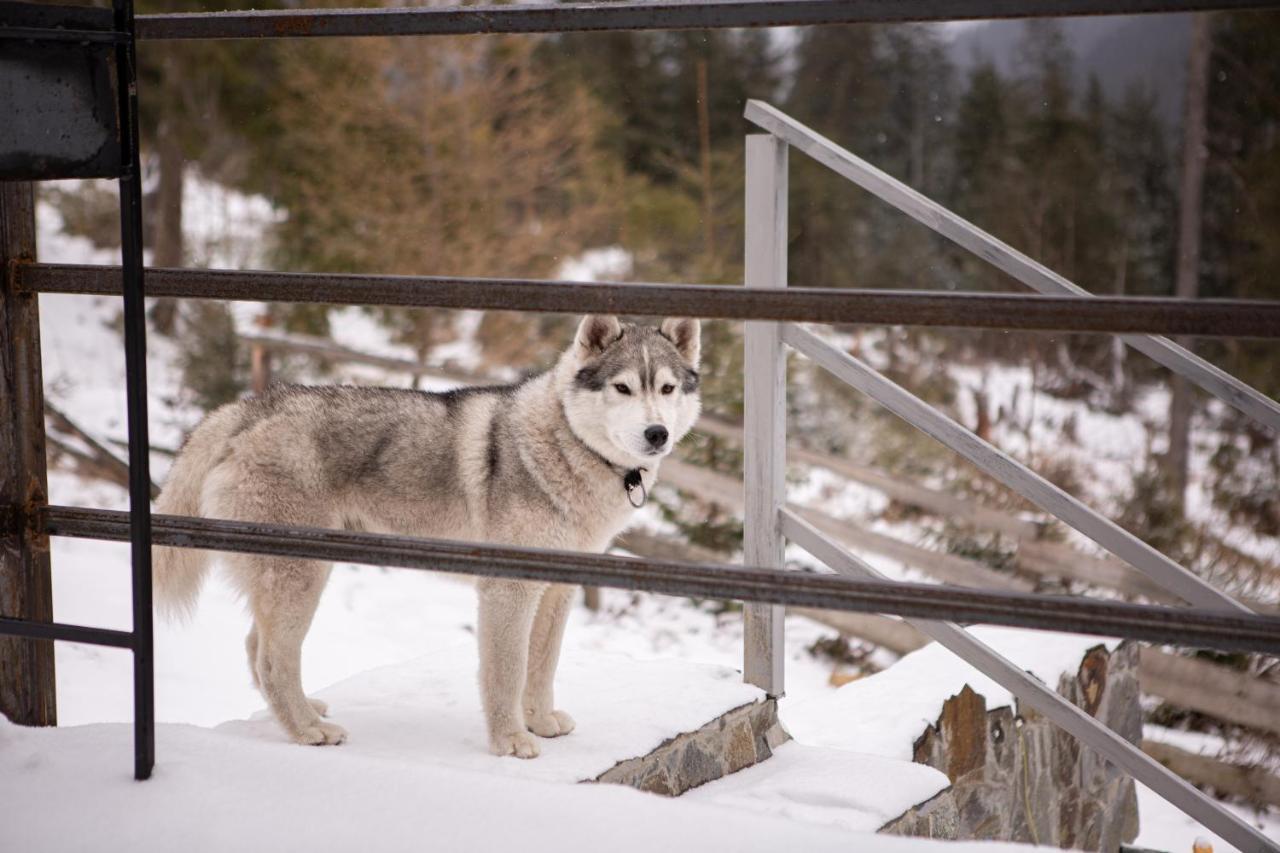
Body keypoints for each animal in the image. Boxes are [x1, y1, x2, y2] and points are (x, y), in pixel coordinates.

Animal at [157, 315, 711, 753]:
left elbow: (542, 666)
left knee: (258, 649)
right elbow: (507, 672)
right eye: (623, 388)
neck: (566, 447)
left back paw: (306, 711)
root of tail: (249, 408)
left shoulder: (557, 590)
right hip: (304, 577)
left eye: (666, 389)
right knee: (272, 659)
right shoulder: (508, 591)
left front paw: (540, 722)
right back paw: (309, 731)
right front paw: (510, 741)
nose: (657, 434)